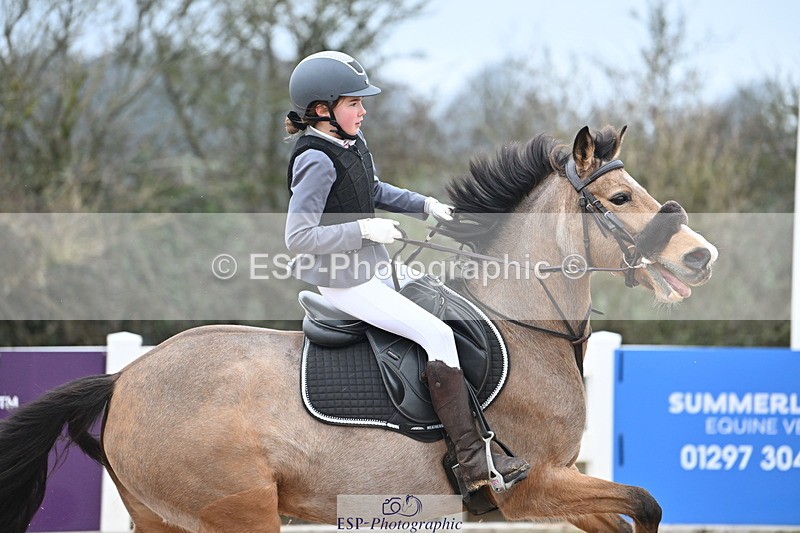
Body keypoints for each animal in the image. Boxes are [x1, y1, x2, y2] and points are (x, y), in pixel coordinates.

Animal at [0, 125, 717, 532]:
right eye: (620, 199)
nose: (700, 256)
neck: (524, 324)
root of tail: (126, 378)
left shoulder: (563, 487)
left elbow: (629, 512)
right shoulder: (533, 486)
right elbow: (645, 504)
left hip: (164, 520)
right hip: (238, 512)